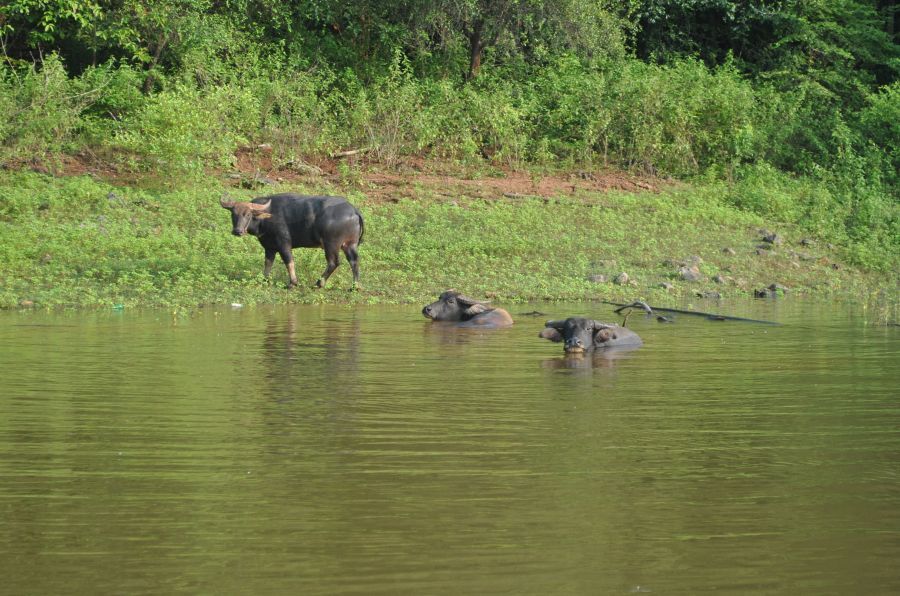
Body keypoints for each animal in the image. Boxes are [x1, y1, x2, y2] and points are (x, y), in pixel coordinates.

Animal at [220, 193, 364, 288]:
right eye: (233, 214)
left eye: (248, 214)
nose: (237, 231)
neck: (266, 218)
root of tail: (353, 210)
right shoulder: (269, 247)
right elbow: (268, 263)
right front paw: (264, 280)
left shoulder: (284, 244)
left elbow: (289, 261)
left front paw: (292, 283)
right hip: (350, 244)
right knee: (354, 260)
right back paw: (355, 286)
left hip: (331, 244)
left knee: (334, 262)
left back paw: (319, 283)